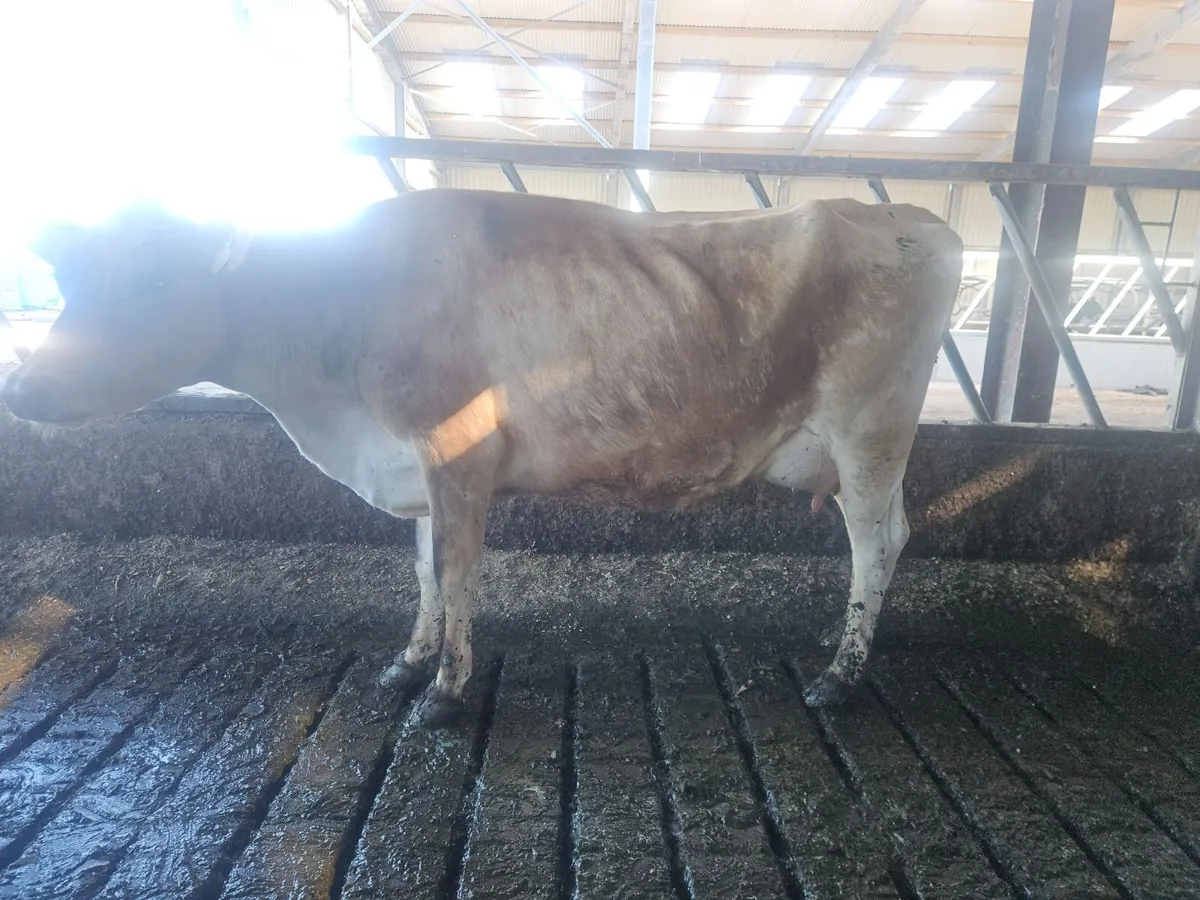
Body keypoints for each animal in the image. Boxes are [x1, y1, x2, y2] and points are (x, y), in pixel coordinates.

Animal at [1, 188, 964, 727]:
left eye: (156, 282)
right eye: (69, 283)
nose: (25, 387)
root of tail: (910, 217)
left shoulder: (455, 453)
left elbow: (456, 572)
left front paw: (445, 693)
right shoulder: (414, 467)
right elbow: (422, 570)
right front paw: (407, 663)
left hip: (869, 427)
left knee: (877, 541)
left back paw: (840, 677)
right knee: (889, 537)